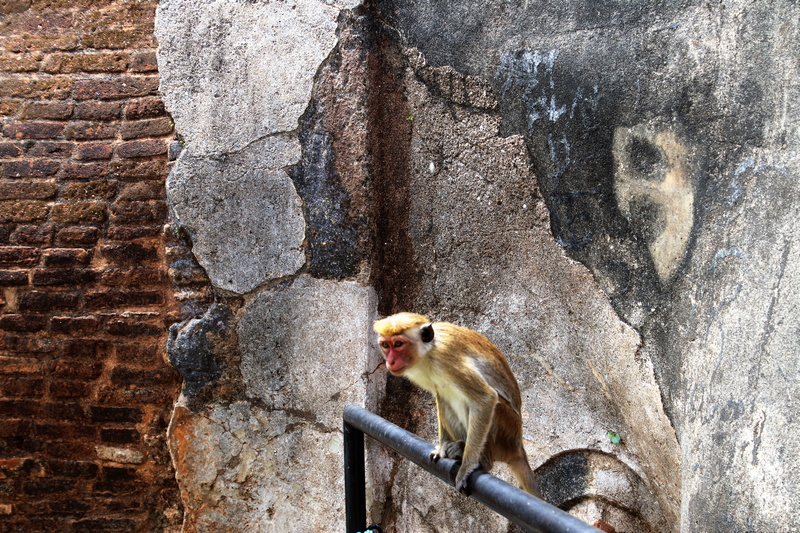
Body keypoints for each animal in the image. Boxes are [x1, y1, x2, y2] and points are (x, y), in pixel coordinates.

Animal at [373, 312, 541, 498]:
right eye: (385, 345)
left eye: (398, 344)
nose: (390, 361)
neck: (428, 352)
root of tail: (518, 445)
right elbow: (440, 396)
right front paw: (441, 447)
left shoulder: (445, 359)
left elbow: (486, 398)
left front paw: (466, 468)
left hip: (506, 432)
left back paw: (482, 460)